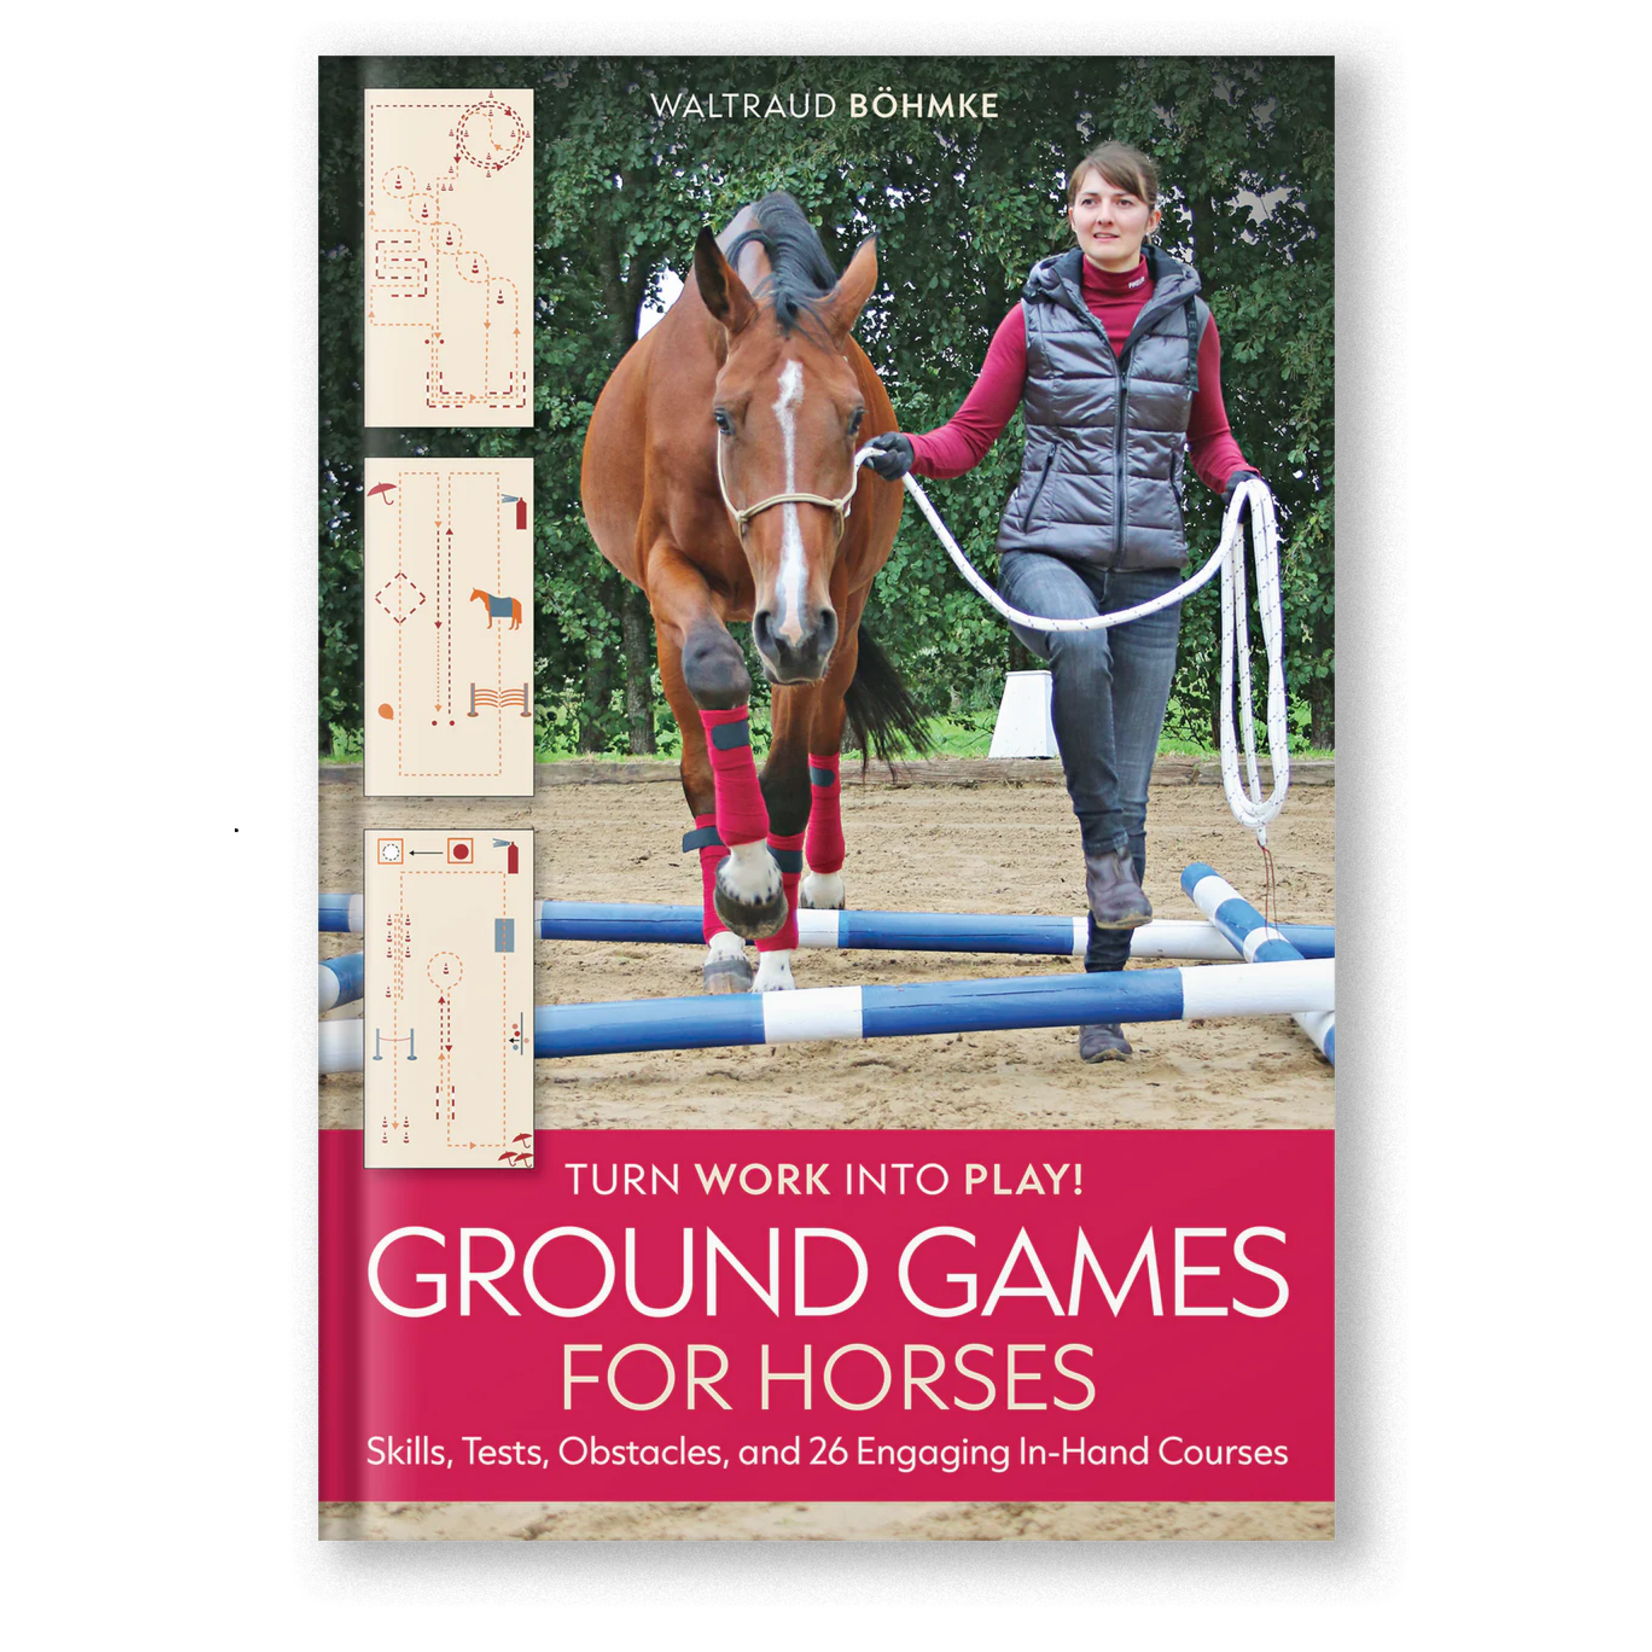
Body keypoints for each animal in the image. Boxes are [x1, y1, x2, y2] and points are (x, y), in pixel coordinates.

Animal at [581, 192, 925, 994]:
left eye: (854, 417)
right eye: (723, 416)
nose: (793, 629)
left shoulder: (820, 616)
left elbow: (791, 780)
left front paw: (776, 949)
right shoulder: (673, 576)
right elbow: (715, 695)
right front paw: (741, 890)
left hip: (831, 624)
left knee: (825, 738)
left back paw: (814, 886)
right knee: (700, 752)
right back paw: (724, 937)